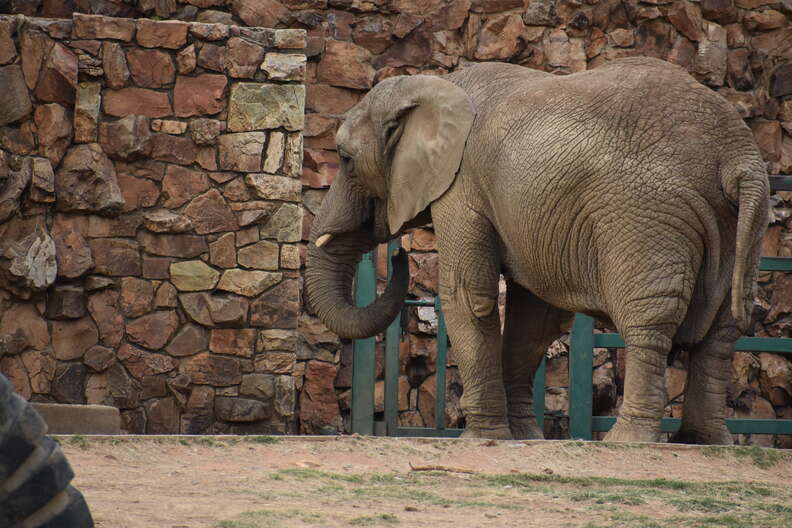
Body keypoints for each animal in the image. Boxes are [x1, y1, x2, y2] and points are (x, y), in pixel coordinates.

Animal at [306, 56, 772, 446]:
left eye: (345, 159)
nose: (398, 255)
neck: (431, 86)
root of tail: (737, 157)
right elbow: (534, 317)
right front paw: (525, 437)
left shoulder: (462, 186)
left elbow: (468, 296)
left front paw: (481, 438)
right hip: (744, 220)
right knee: (724, 331)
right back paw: (705, 442)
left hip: (645, 215)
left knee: (650, 321)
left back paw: (627, 441)